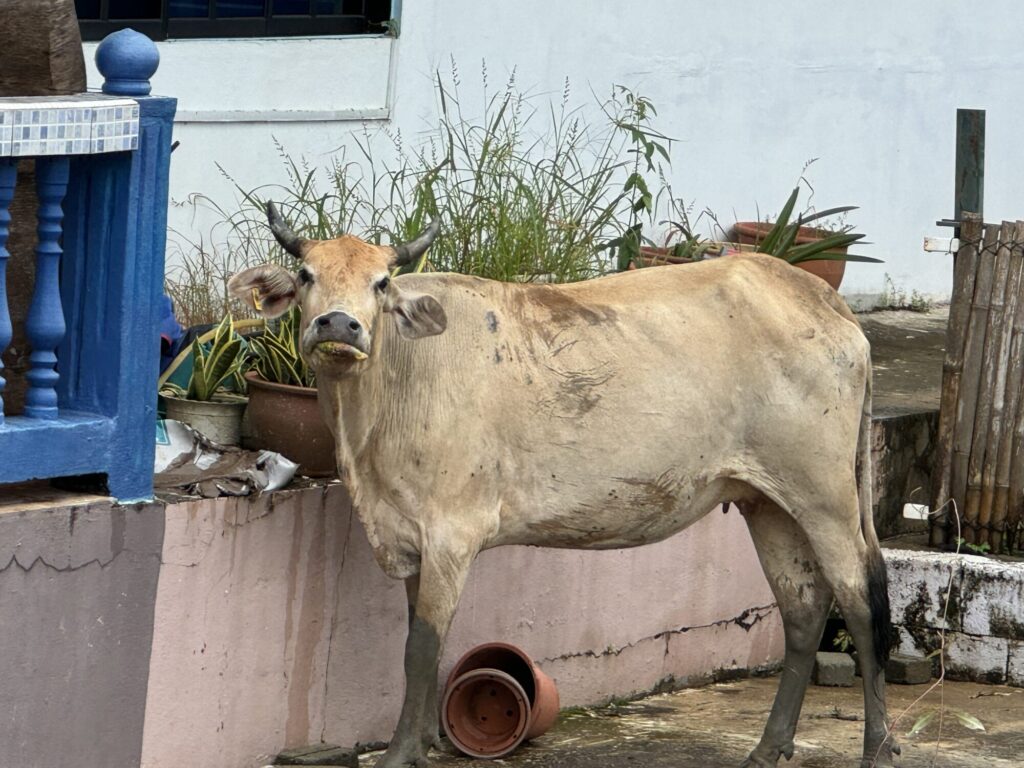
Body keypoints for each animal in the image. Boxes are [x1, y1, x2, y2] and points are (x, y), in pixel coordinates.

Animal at [230, 204, 897, 768]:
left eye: (381, 284)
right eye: (306, 273)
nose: (338, 324)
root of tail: (815, 294)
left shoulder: (451, 531)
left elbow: (421, 648)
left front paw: (399, 756)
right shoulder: (411, 533)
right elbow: (421, 645)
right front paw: (421, 745)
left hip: (826, 497)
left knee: (861, 600)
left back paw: (877, 750)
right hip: (768, 501)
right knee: (803, 609)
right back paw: (768, 747)